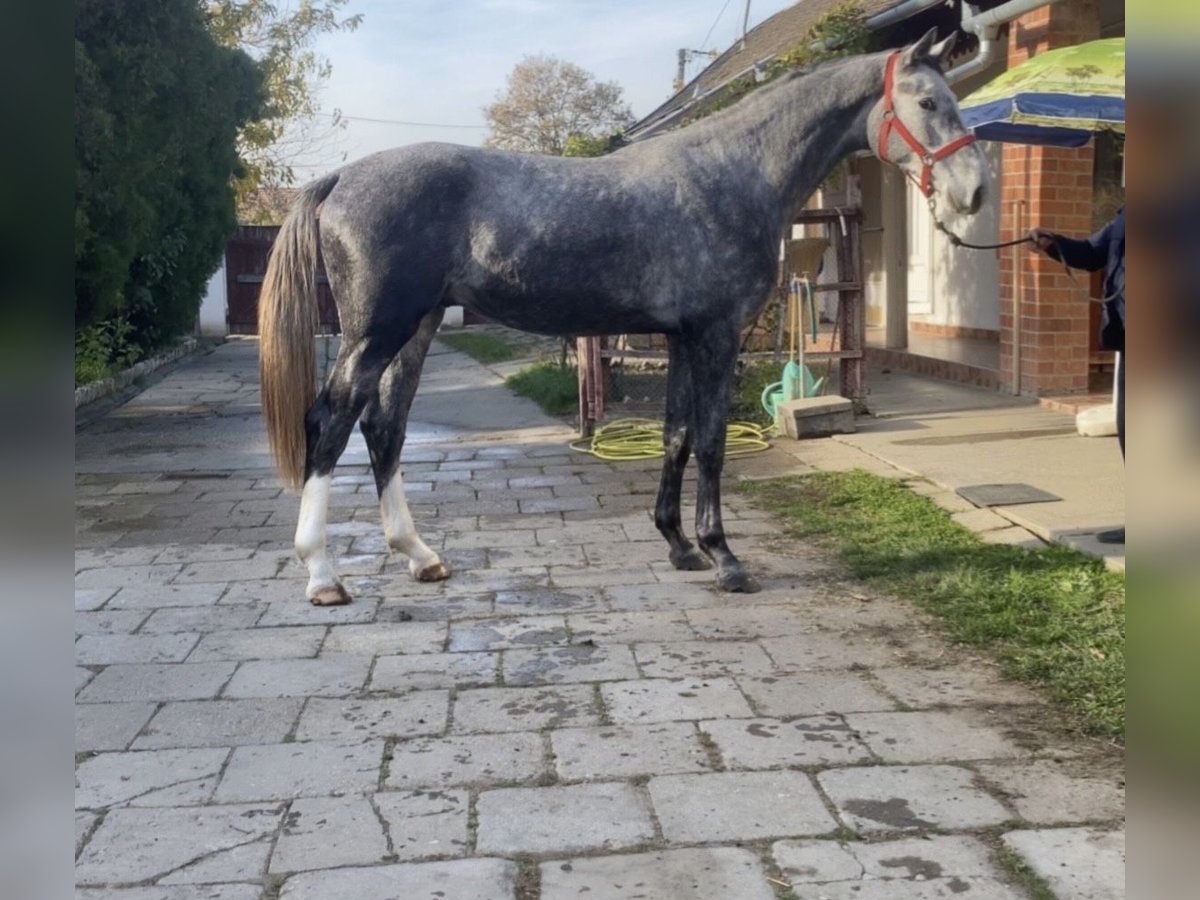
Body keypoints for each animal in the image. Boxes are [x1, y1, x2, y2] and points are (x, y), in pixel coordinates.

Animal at [258, 30, 979, 607]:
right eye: (927, 102)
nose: (972, 193)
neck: (730, 174)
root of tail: (342, 177)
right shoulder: (717, 336)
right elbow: (712, 441)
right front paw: (725, 557)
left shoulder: (684, 338)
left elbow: (675, 435)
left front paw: (680, 546)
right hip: (377, 333)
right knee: (330, 423)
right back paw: (323, 575)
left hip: (418, 327)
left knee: (385, 428)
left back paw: (420, 557)